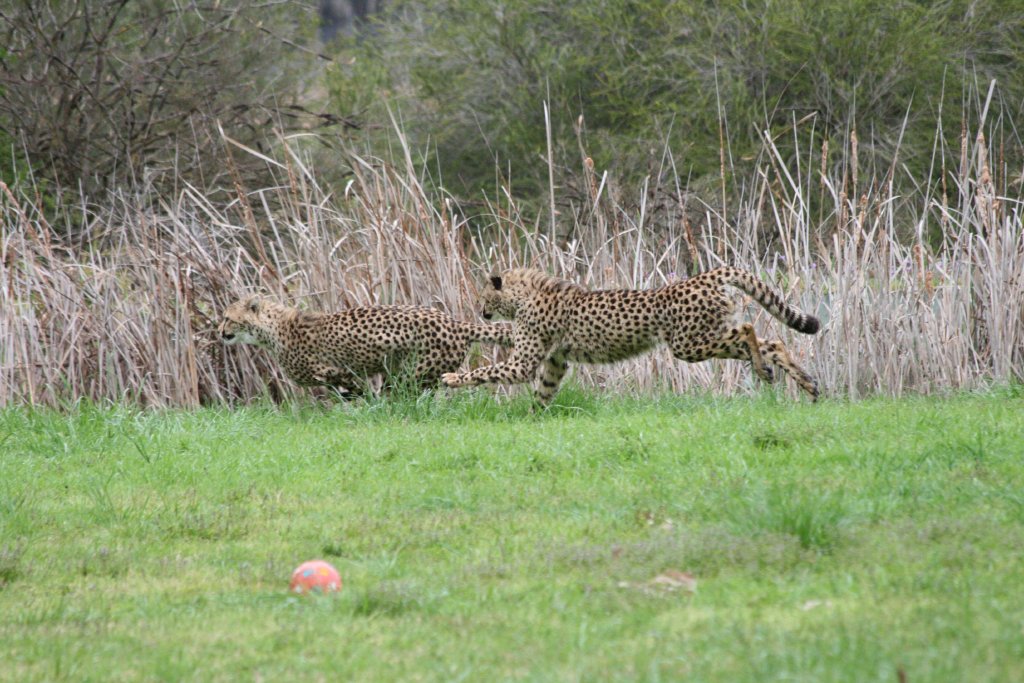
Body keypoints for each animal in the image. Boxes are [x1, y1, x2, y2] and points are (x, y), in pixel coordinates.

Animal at [219, 295, 512, 397]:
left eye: (228, 318)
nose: (220, 332)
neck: (273, 330)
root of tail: (454, 322)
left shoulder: (339, 371)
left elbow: (360, 393)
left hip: (412, 373)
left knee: (402, 396)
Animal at [441, 267, 821, 403]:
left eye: (482, 295)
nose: (479, 308)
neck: (523, 295)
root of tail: (703, 276)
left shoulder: (525, 361)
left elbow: (485, 371)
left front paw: (452, 378)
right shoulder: (555, 359)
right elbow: (542, 391)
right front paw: (535, 418)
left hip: (688, 344)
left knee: (747, 329)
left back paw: (764, 370)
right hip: (703, 336)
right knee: (774, 342)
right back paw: (805, 383)